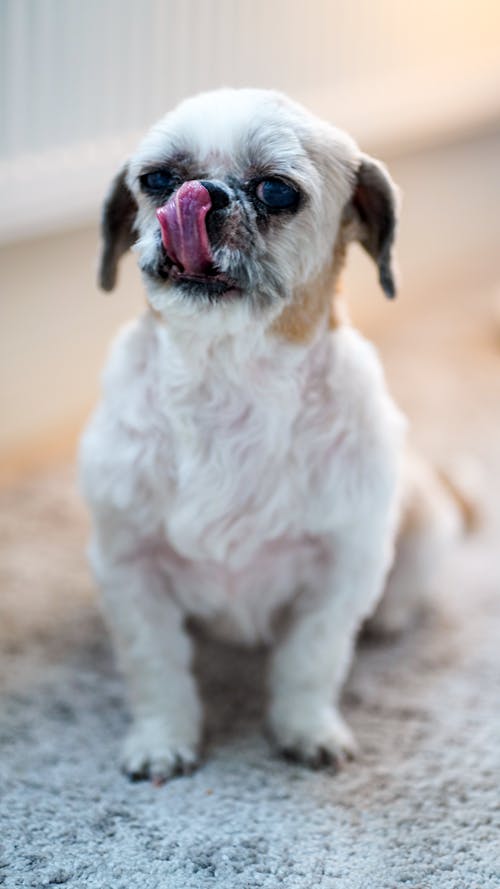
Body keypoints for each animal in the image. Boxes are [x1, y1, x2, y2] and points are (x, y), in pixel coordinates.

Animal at [79, 85, 464, 776]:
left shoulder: (341, 572)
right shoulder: (129, 569)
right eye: (156, 180)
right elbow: (157, 668)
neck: (229, 383)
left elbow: (308, 662)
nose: (201, 193)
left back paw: (390, 618)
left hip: (425, 521)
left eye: (277, 191)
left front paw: (306, 730)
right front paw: (163, 739)